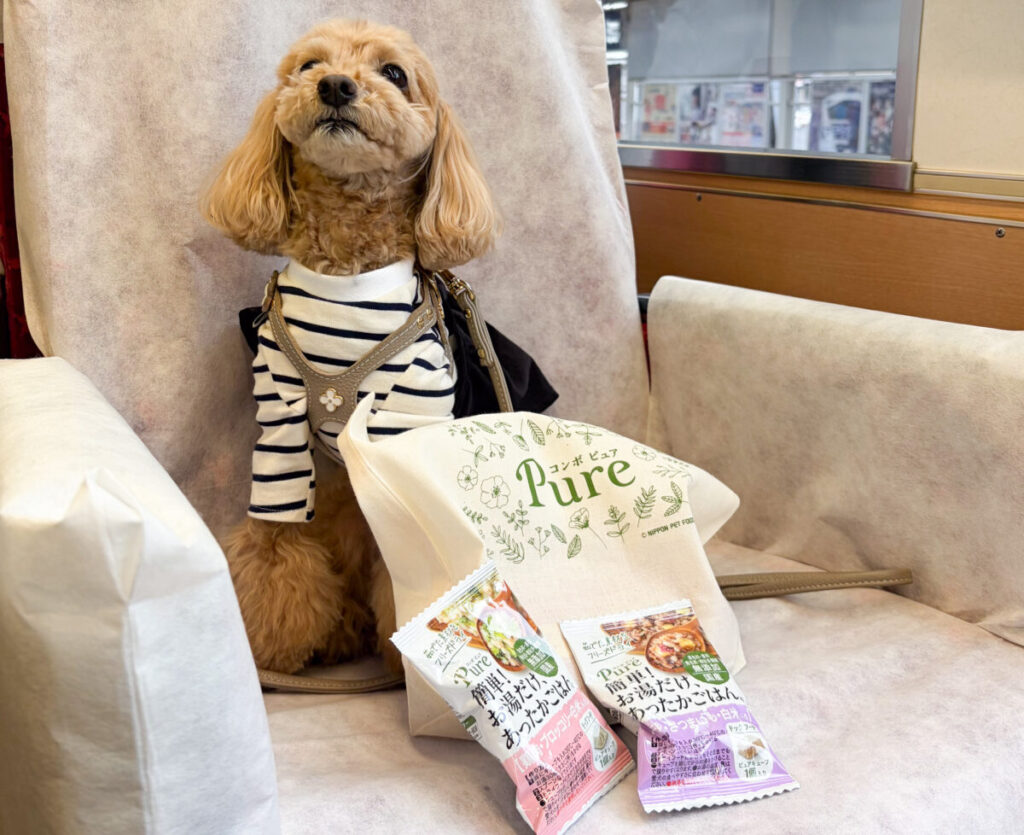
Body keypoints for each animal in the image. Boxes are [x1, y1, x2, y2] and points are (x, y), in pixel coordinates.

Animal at [202, 19, 498, 674]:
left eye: (394, 73)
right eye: (309, 65)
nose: (335, 85)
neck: (345, 270)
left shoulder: (404, 417)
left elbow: (406, 552)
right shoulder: (279, 416)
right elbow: (278, 536)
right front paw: (273, 642)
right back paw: (342, 633)